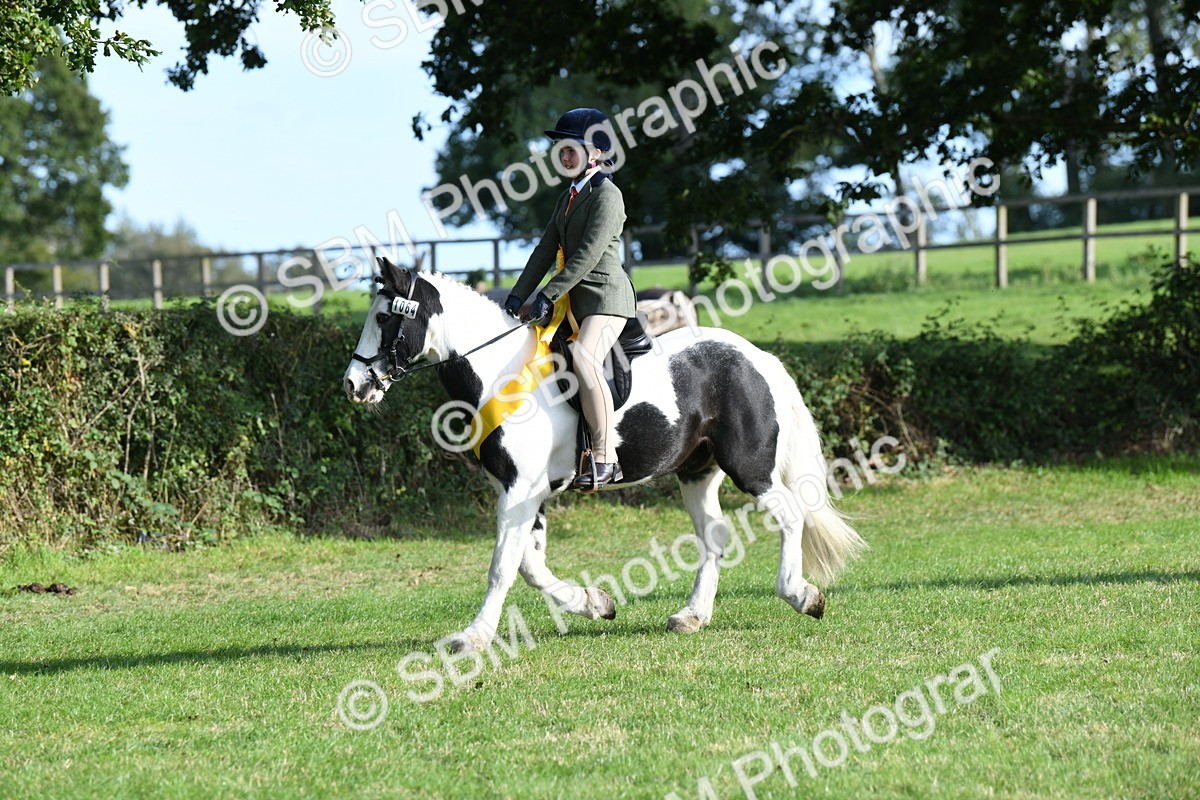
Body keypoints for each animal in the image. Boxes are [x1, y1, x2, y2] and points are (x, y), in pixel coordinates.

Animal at [343, 258, 866, 654]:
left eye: (385, 318)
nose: (353, 385)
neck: (501, 375)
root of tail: (757, 358)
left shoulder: (518, 491)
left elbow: (503, 568)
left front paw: (473, 637)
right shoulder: (528, 495)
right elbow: (530, 567)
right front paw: (595, 603)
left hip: (751, 468)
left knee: (791, 515)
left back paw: (802, 596)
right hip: (697, 472)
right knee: (714, 536)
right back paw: (692, 616)